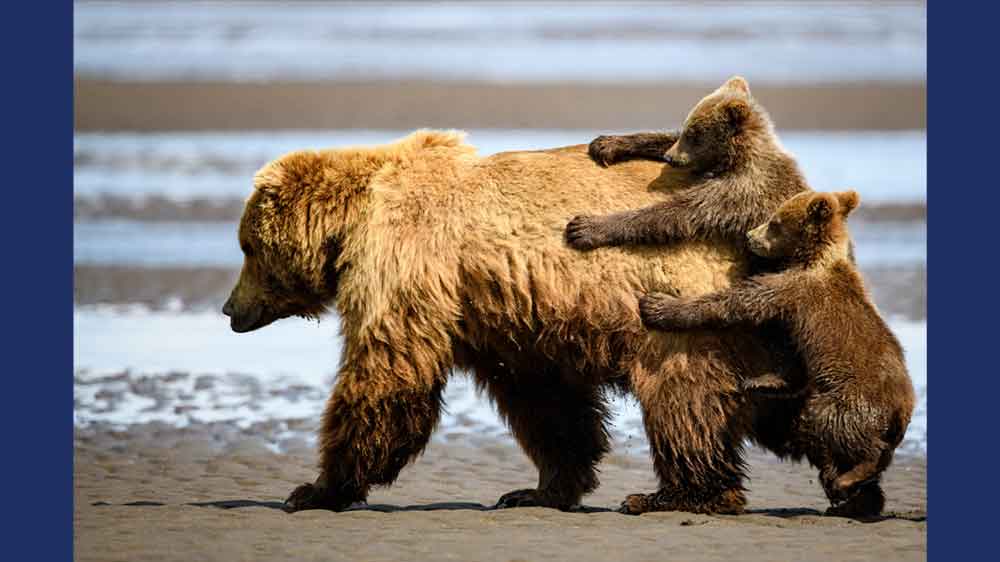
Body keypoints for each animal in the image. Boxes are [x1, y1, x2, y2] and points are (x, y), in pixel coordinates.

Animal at [223, 126, 800, 512]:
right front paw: (540, 488)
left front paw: (316, 489)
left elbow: (386, 372)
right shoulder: (504, 316)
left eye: (247, 247)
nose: (230, 309)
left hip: (679, 301)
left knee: (683, 397)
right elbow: (545, 401)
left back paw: (682, 492)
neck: (353, 221)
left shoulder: (406, 262)